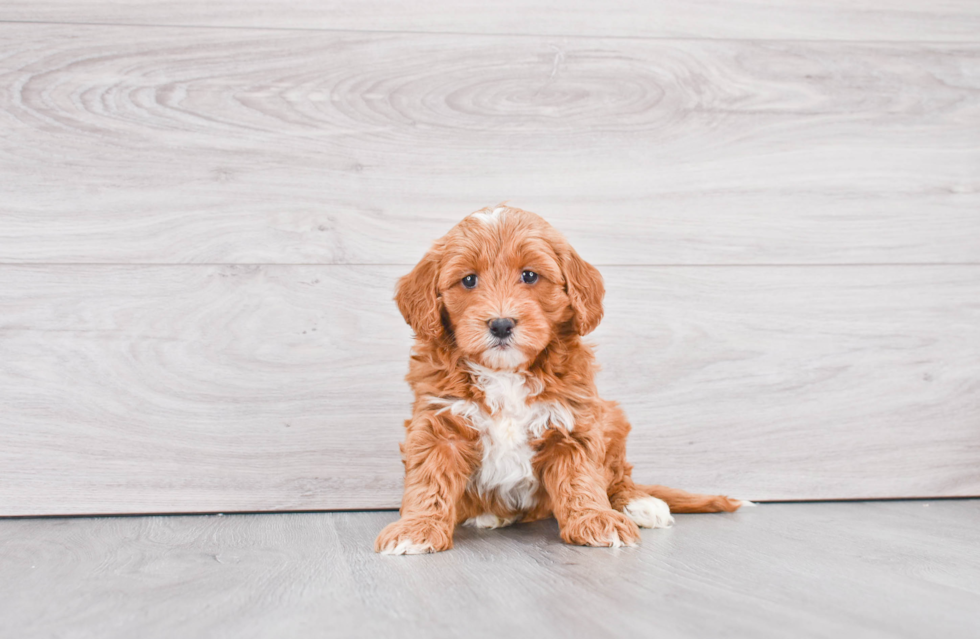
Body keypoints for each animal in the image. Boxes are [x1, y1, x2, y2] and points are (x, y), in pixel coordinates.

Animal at [374, 206, 744, 556]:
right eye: (468, 280)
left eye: (529, 275)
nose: (501, 324)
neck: (505, 373)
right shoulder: (439, 423)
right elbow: (429, 481)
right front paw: (417, 528)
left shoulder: (572, 420)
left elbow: (582, 479)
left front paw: (597, 519)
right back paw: (491, 514)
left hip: (612, 418)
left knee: (618, 476)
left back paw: (638, 502)